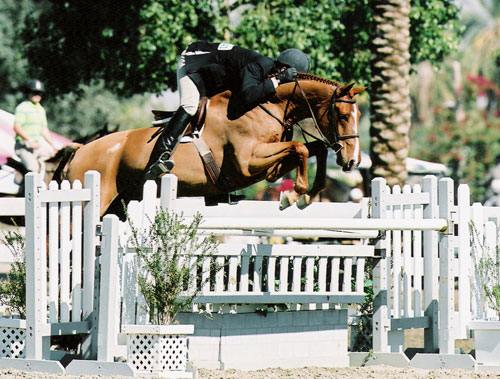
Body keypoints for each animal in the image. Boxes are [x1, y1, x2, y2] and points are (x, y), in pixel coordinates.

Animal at [58, 74, 364, 217]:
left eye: (359, 115)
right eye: (343, 116)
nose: (352, 161)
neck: (267, 105)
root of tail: (80, 149)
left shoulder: (268, 169)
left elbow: (313, 149)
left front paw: (307, 194)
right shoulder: (247, 164)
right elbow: (300, 148)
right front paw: (295, 195)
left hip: (118, 204)